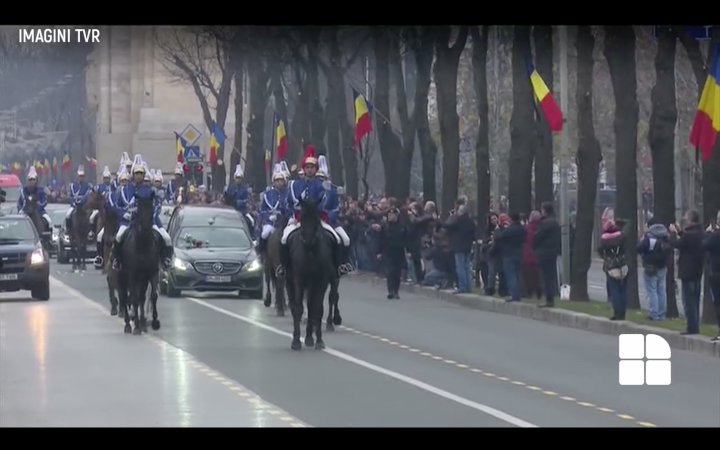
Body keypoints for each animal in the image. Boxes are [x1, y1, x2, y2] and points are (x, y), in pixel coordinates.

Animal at [119, 188, 162, 336]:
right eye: (138, 210)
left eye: (151, 209)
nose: (145, 228)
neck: (143, 245)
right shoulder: (132, 274)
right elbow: (134, 299)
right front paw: (136, 326)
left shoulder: (151, 273)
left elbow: (152, 296)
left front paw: (154, 322)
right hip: (122, 276)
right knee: (125, 297)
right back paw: (128, 324)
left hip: (141, 279)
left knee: (141, 297)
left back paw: (142, 322)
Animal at [286, 198, 336, 352]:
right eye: (302, 217)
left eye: (316, 218)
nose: (308, 240)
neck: (311, 252)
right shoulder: (299, 280)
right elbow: (298, 308)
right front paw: (296, 341)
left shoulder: (322, 281)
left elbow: (317, 309)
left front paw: (318, 340)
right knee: (295, 305)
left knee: (314, 305)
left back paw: (309, 337)